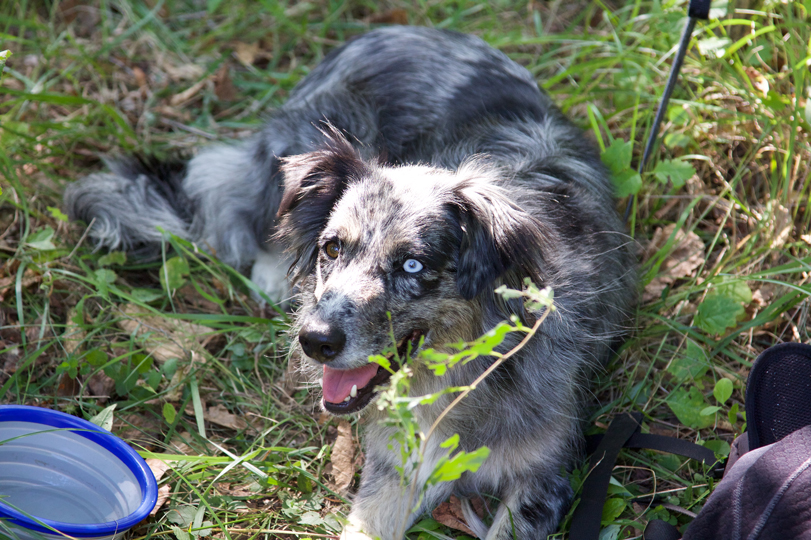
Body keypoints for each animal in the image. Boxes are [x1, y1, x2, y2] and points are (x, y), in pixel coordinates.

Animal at [65, 26, 635, 539]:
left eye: (412, 266)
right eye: (332, 249)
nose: (313, 341)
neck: (461, 375)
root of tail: (392, 30)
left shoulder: (542, 480)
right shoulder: (396, 470)